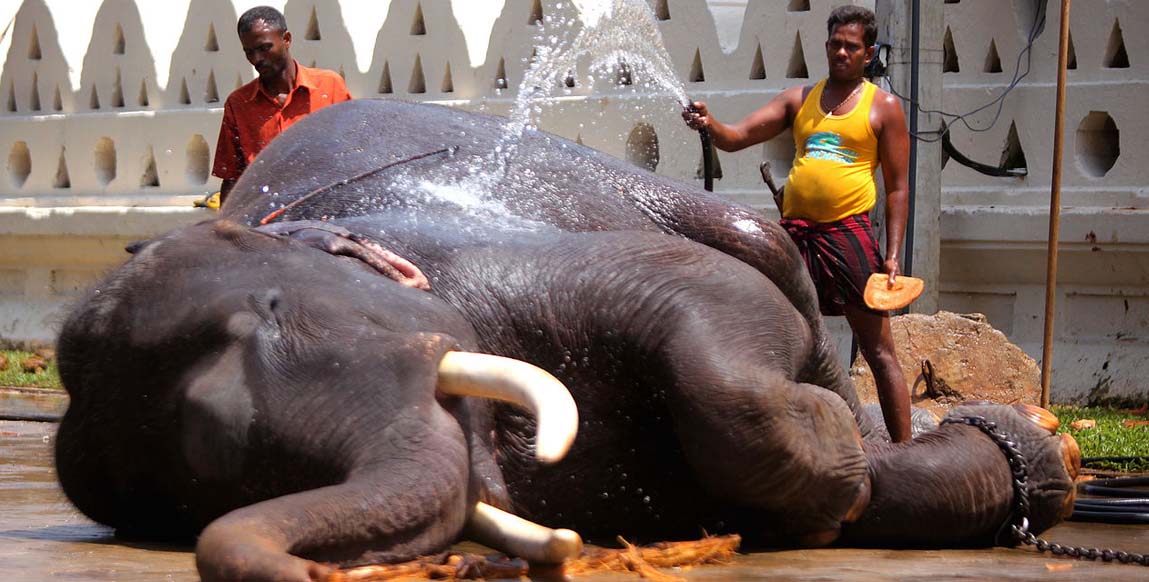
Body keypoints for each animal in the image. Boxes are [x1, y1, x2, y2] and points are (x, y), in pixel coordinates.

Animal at [54, 101, 1075, 582]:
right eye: (210, 472)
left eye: (269, 309)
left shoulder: (493, 257)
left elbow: (708, 304)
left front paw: (842, 476)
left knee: (754, 250)